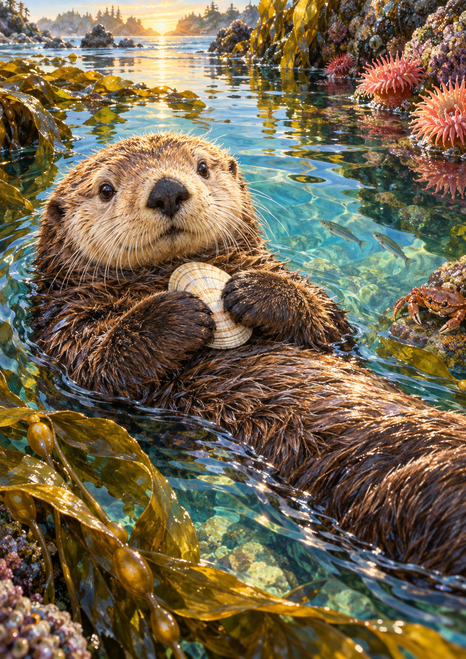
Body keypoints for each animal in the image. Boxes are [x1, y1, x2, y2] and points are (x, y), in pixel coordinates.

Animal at [34, 132, 466, 575]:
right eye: (106, 189)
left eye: (202, 167)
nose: (167, 190)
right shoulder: (64, 333)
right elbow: (100, 365)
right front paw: (175, 313)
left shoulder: (327, 322)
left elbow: (327, 320)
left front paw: (253, 291)